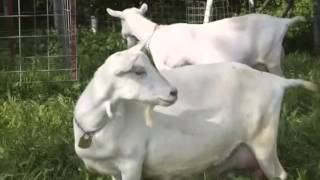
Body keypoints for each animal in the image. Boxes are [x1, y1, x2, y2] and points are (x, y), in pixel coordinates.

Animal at [74, 44, 316, 180]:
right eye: (138, 71)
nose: (173, 92)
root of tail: (275, 82)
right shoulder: (116, 169)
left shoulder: (132, 162)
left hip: (263, 140)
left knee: (280, 174)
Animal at [107, 3, 304, 75]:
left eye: (121, 22)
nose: (127, 42)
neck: (155, 33)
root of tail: (283, 23)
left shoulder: (168, 67)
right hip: (263, 63)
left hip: (272, 60)